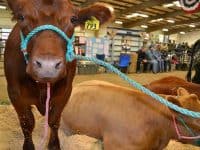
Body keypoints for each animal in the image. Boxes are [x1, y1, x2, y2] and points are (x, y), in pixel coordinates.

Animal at [4, 0, 113, 149]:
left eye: (73, 19)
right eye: (21, 17)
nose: (47, 65)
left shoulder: (65, 92)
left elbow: (54, 120)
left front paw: (54, 145)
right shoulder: (15, 94)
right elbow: (27, 123)